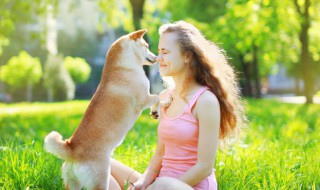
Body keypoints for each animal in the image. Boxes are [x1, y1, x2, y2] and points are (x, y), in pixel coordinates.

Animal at [44, 29, 168, 190]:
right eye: (146, 46)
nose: (156, 57)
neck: (122, 67)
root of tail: (72, 149)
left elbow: (158, 98)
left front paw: (157, 110)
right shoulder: (143, 99)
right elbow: (157, 97)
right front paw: (158, 108)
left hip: (72, 183)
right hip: (101, 179)